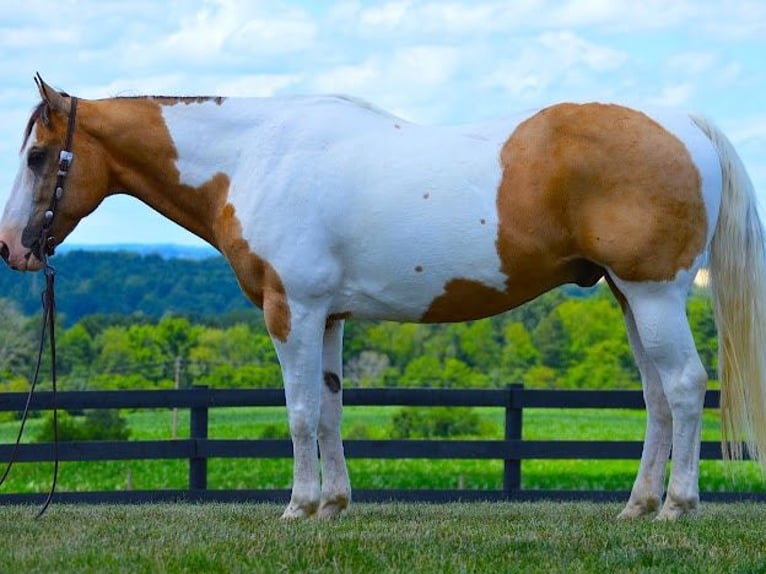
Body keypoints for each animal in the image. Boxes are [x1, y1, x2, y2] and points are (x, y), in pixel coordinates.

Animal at [1, 76, 766, 520]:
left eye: (37, 156)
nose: (13, 247)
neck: (255, 159)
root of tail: (687, 124)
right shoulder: (330, 315)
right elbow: (332, 410)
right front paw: (336, 506)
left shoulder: (292, 310)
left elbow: (300, 414)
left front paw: (299, 508)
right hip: (629, 297)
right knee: (657, 397)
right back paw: (637, 506)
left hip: (654, 293)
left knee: (685, 386)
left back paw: (676, 507)